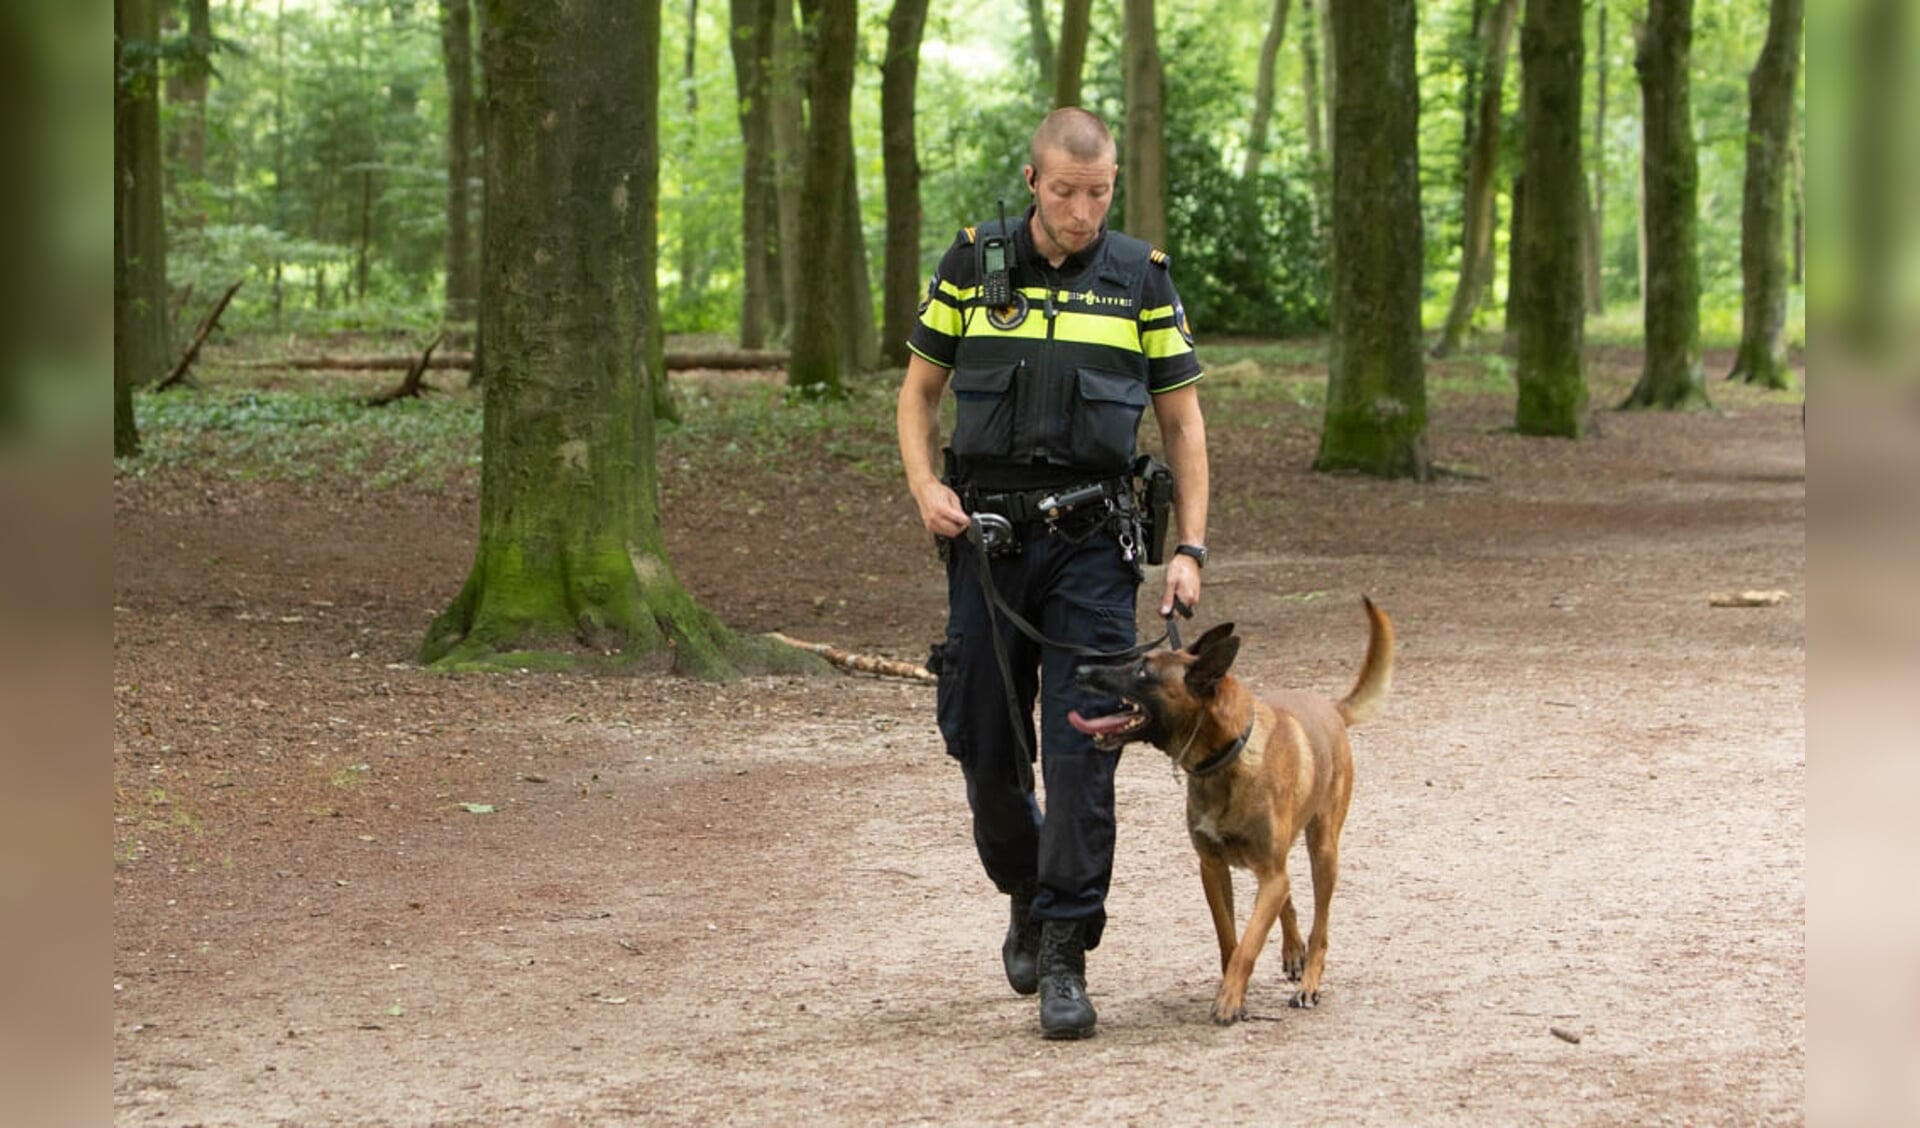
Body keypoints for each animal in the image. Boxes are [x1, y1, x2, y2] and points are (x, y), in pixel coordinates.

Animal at [1067, 598, 1397, 1020]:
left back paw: (1309, 982)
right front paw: (1232, 989)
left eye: (1143, 670)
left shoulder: (1268, 873)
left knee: (1320, 926)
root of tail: (1331, 708)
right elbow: (1230, 939)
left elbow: (1250, 943)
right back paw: (1293, 950)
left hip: (1323, 852)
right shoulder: (1213, 869)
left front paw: (1229, 1001)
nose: (1081, 669)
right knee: (1287, 896)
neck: (1226, 758)